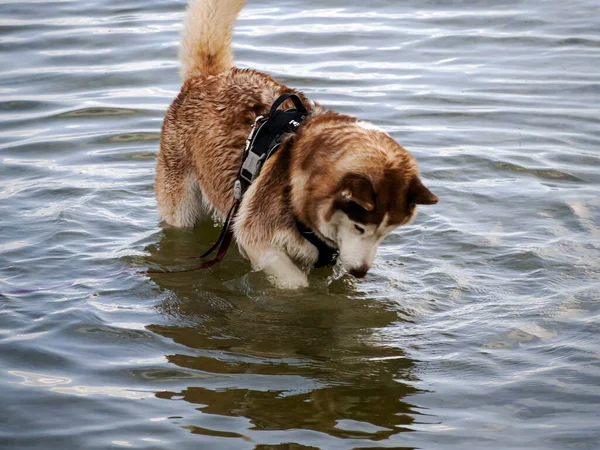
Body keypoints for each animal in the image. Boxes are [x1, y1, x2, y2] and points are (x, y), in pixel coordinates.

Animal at [152, 0, 438, 288]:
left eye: (387, 231)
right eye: (360, 228)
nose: (360, 272)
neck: (297, 187)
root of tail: (209, 77)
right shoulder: (258, 239)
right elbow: (296, 283)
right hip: (183, 210)